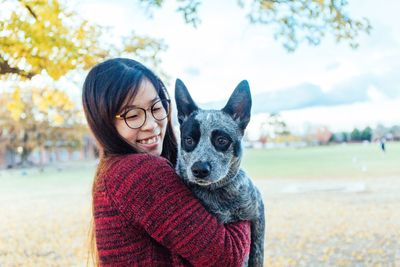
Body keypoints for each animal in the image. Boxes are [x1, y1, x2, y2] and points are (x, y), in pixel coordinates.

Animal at [175, 78, 266, 266]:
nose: (199, 169)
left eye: (221, 140)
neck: (218, 193)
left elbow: (257, 250)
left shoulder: (257, 211)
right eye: (189, 140)